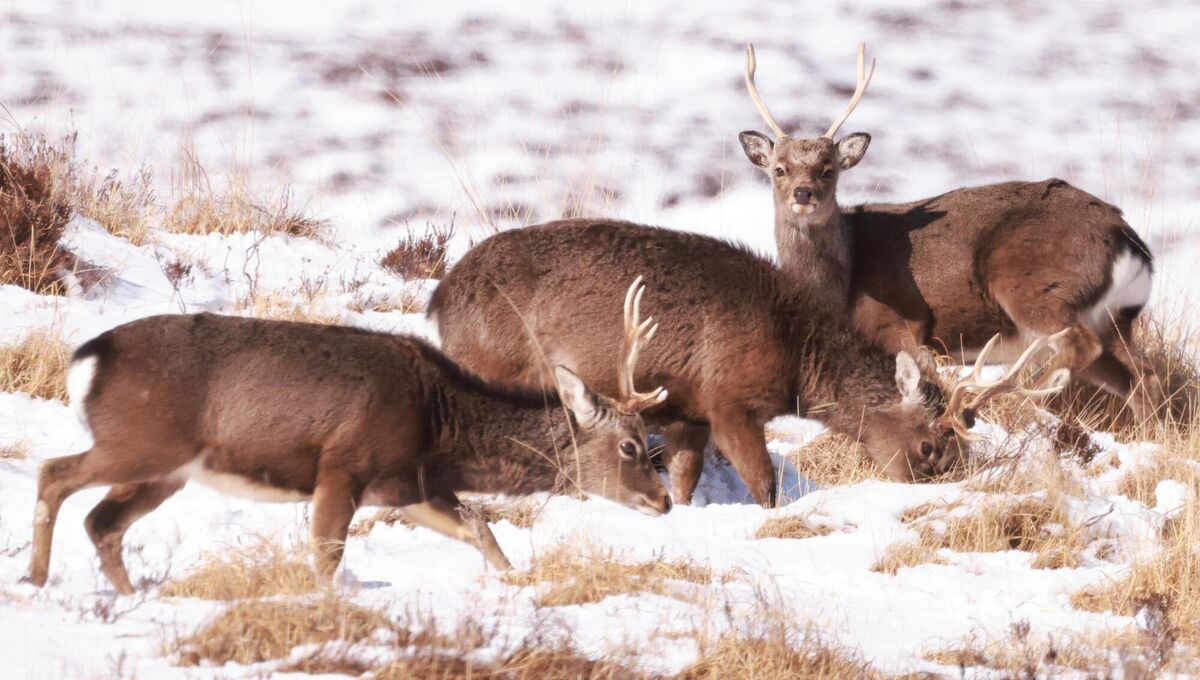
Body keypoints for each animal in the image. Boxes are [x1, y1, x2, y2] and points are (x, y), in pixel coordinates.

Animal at [25, 279, 671, 594]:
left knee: (102, 522)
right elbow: (326, 556)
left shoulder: (407, 486)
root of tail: (87, 358)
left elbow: (482, 530)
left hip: (164, 471)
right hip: (142, 443)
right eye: (631, 445)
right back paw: (34, 579)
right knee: (54, 473)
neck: (440, 425)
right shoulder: (344, 466)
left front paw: (514, 583)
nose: (664, 500)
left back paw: (126, 595)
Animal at [428, 220, 1069, 507]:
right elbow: (763, 482)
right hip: (490, 361)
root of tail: (439, 296)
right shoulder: (729, 400)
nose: (932, 491)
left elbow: (685, 480)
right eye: (932, 445)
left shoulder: (688, 413)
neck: (796, 361)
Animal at [737, 43, 1163, 426]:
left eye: (829, 169)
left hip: (1032, 285)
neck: (840, 284)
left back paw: (974, 407)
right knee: (1140, 376)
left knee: (1082, 347)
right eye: (778, 169)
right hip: (1114, 318)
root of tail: (1130, 241)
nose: (803, 193)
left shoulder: (898, 326)